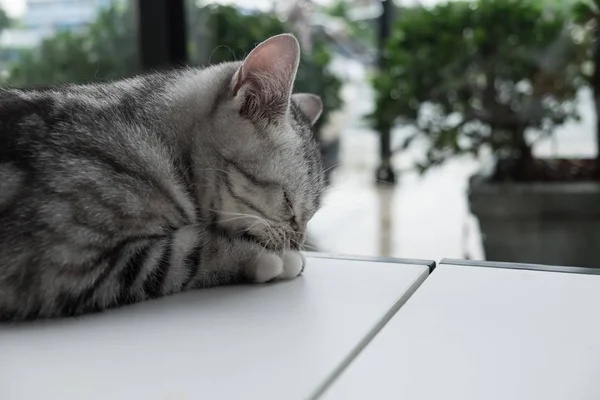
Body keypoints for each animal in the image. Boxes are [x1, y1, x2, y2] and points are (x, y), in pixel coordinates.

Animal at [0, 34, 326, 322]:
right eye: (287, 203)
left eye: (311, 215)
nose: (297, 242)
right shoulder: (76, 264)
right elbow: (189, 253)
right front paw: (276, 259)